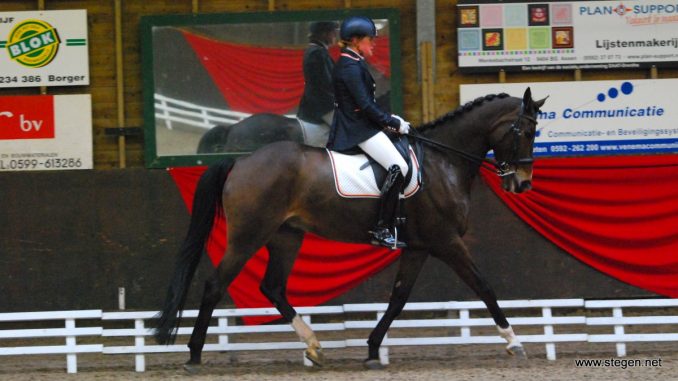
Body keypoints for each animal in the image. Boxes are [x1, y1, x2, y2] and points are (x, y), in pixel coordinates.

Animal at [155, 87, 548, 370]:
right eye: (526, 130)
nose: (523, 183)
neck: (443, 162)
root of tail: (241, 161)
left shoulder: (419, 247)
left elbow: (398, 298)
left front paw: (373, 350)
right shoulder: (447, 242)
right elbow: (483, 285)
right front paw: (514, 342)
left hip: (286, 235)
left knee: (273, 287)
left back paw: (314, 347)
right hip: (248, 235)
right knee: (214, 286)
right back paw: (193, 355)